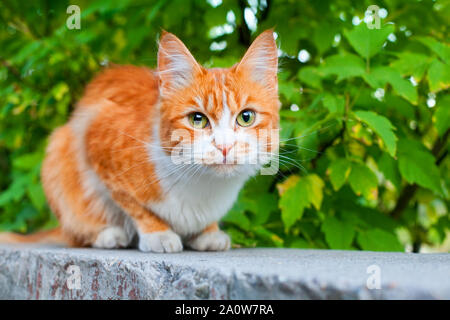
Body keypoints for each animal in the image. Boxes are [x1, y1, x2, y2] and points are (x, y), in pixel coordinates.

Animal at [0, 29, 280, 252]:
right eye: (197, 119)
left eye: (246, 117)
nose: (224, 146)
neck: (204, 186)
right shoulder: (96, 136)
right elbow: (134, 206)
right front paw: (158, 233)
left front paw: (208, 232)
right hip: (59, 148)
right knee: (75, 230)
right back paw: (108, 235)